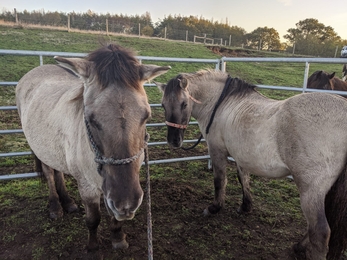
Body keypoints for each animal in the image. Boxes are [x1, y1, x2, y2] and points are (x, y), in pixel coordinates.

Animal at [16, 43, 171, 251]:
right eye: (91, 119)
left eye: (146, 116)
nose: (126, 203)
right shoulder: (87, 187)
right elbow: (93, 219)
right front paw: (92, 247)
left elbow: (114, 219)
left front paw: (118, 238)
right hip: (41, 151)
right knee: (49, 173)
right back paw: (56, 206)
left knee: (58, 172)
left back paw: (68, 202)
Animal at [158, 69, 347, 260]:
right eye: (163, 105)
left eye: (184, 104)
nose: (174, 141)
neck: (221, 103)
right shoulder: (242, 155)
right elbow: (244, 179)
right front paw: (245, 206)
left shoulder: (217, 150)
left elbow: (220, 181)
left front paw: (214, 208)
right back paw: (298, 246)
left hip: (310, 190)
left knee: (320, 232)